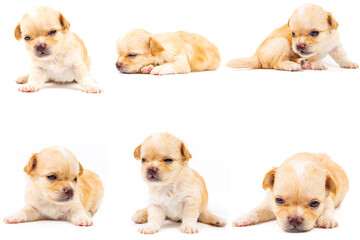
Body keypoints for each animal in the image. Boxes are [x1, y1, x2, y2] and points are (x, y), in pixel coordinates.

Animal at [226, 4, 358, 71]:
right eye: (293, 34)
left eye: (314, 33)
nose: (299, 46)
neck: (322, 45)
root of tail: (256, 56)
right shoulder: (309, 53)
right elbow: (313, 56)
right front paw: (317, 64)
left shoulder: (335, 45)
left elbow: (341, 55)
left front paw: (348, 63)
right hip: (282, 42)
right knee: (277, 63)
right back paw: (294, 65)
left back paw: (303, 63)